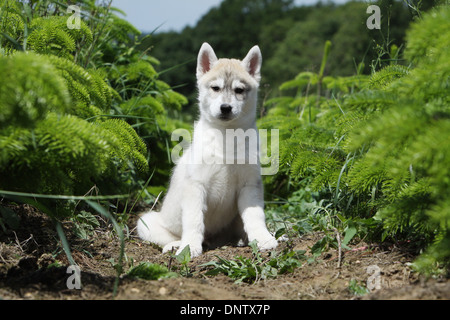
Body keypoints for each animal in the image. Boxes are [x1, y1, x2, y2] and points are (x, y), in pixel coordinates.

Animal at [137, 42, 278, 258]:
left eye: (239, 90)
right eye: (215, 88)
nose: (226, 107)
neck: (227, 137)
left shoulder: (249, 185)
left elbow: (255, 216)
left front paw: (263, 239)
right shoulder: (196, 186)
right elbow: (194, 221)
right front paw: (189, 247)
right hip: (146, 223)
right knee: (169, 237)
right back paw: (176, 245)